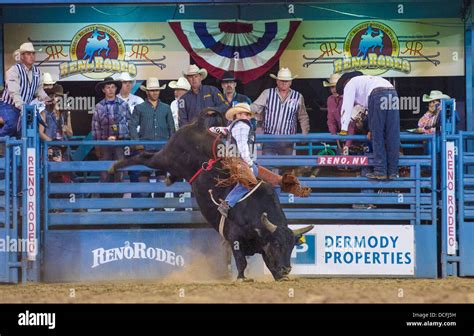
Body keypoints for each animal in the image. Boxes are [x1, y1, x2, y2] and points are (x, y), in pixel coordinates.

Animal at [109, 108, 312, 280]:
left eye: (292, 246)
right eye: (277, 244)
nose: (287, 269)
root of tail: (199, 125)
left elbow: (268, 262)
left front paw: (279, 276)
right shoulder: (234, 237)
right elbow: (241, 261)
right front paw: (242, 278)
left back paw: (168, 179)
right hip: (166, 157)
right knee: (144, 157)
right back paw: (114, 167)